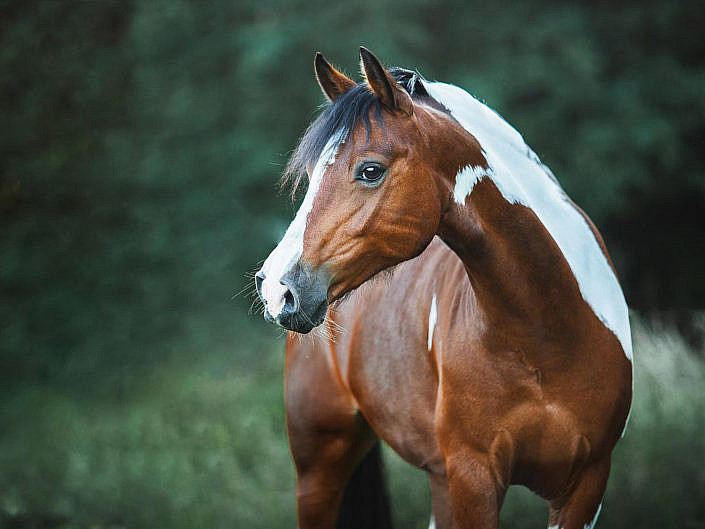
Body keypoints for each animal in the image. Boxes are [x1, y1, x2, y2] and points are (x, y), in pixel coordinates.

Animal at [253, 46, 632, 528]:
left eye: (370, 170)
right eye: (310, 173)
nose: (275, 286)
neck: (547, 338)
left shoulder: (586, 485)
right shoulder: (474, 475)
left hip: (437, 477)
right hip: (319, 466)